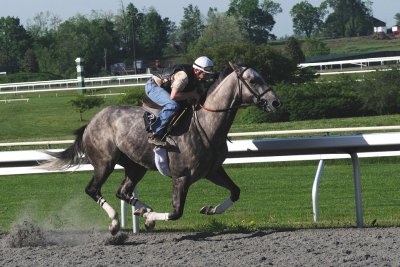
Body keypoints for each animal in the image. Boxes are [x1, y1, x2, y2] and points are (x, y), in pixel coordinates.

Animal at [43, 62, 282, 234]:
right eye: (253, 79)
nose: (275, 102)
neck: (206, 125)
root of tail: (91, 122)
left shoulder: (212, 171)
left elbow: (235, 191)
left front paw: (209, 209)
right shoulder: (181, 176)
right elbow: (176, 212)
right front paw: (150, 218)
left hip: (135, 166)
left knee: (122, 191)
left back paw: (142, 210)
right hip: (104, 162)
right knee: (93, 190)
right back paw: (116, 222)